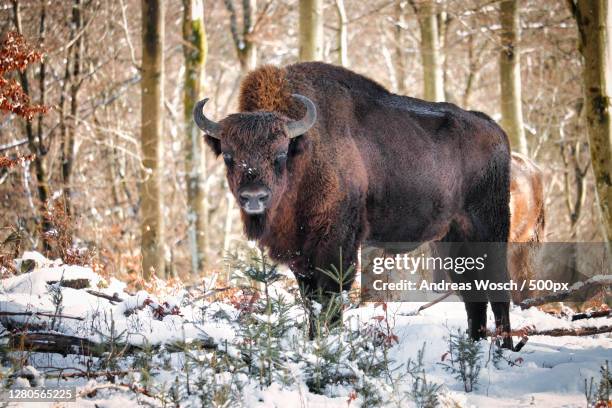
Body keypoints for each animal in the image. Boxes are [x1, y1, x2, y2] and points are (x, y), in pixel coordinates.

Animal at [194, 61, 512, 348]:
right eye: (229, 156)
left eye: (280, 154)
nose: (254, 197)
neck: (306, 152)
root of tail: (496, 131)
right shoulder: (301, 255)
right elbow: (311, 302)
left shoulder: (337, 244)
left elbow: (330, 299)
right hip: (452, 239)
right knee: (473, 295)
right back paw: (474, 348)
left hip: (490, 229)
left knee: (498, 289)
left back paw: (503, 350)